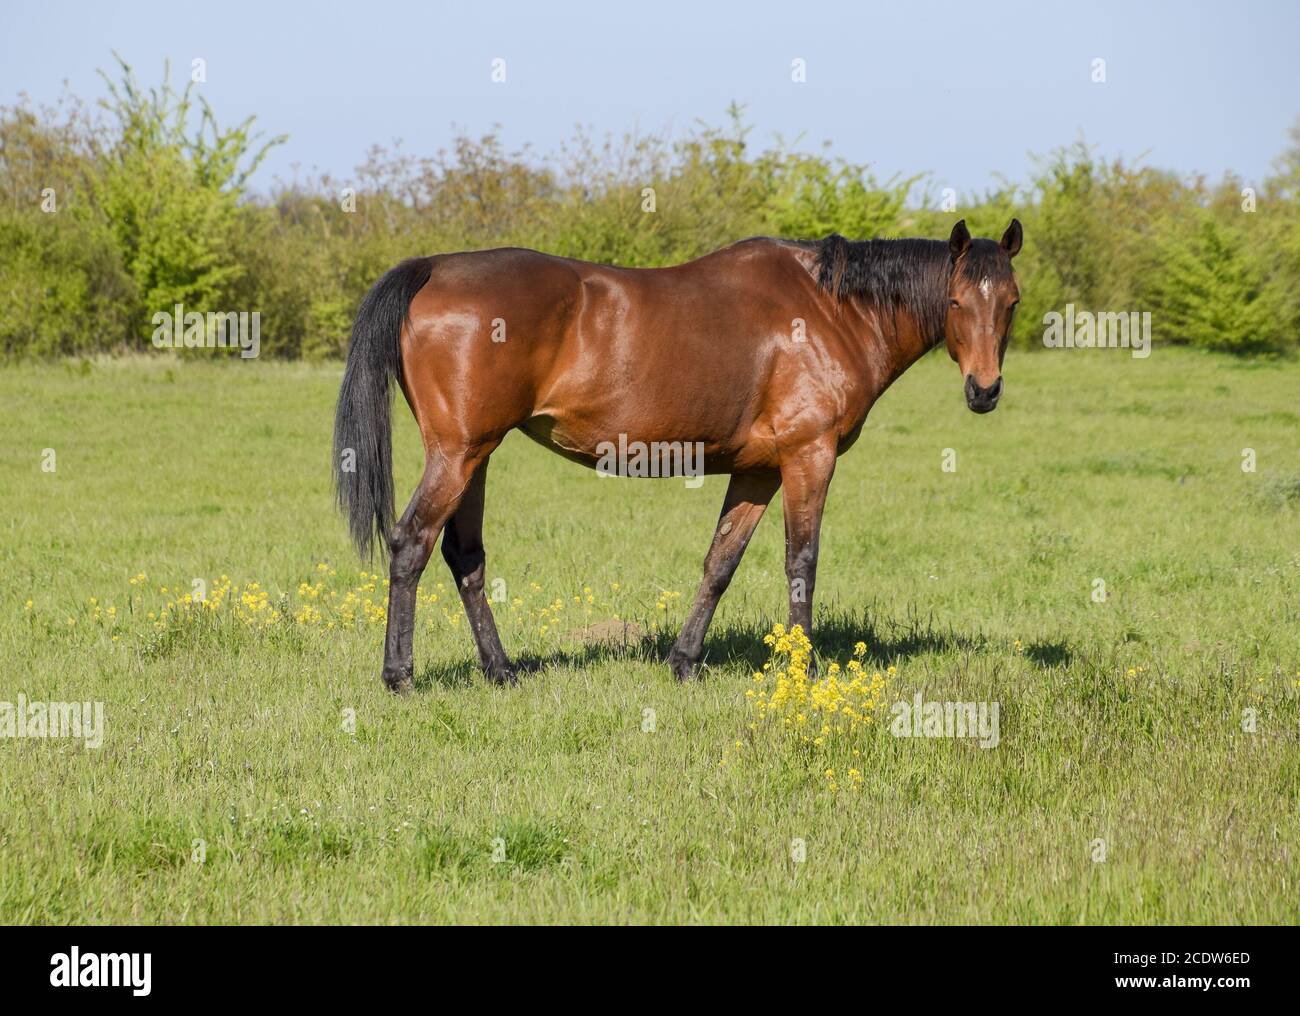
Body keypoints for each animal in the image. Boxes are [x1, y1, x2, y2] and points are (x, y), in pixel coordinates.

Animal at [334, 218, 1023, 693]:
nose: (985, 390)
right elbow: (801, 561)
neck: (831, 311)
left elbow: (721, 562)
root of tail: (433, 267)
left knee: (464, 555)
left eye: (1010, 301)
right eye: (957, 301)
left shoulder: (757, 470)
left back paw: (500, 670)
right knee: (411, 543)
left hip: (473, 457)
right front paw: (803, 669)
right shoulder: (810, 456)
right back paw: (400, 675)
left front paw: (685, 661)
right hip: (457, 455)